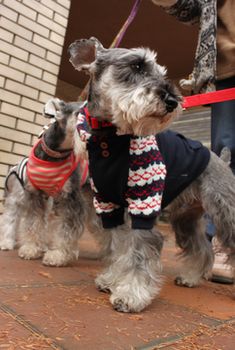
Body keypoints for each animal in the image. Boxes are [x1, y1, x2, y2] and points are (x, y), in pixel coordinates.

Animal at [0, 98, 87, 266]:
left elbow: (65, 230)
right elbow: (34, 222)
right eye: (80, 114)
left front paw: (57, 255)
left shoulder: (69, 198)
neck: (55, 155)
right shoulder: (36, 196)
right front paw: (31, 248)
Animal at [68, 37, 235, 312]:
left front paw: (130, 295)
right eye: (136, 65)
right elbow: (117, 247)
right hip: (185, 219)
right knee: (201, 248)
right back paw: (191, 278)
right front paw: (112, 280)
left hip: (225, 212)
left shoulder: (143, 205)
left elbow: (138, 251)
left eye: (160, 72)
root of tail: (220, 159)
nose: (173, 101)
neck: (109, 137)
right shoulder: (108, 205)